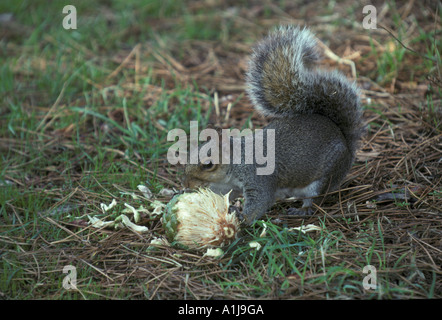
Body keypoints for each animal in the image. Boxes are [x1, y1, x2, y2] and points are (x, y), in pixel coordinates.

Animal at [181, 25, 364, 224]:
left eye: (208, 164)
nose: (186, 183)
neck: (237, 162)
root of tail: (345, 141)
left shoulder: (258, 178)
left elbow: (261, 200)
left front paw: (243, 218)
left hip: (324, 177)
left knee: (315, 198)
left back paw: (302, 210)